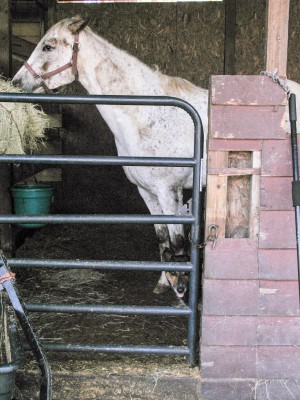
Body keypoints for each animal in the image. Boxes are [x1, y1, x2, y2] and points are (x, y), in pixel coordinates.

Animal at [12, 15, 209, 298]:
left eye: (48, 46)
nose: (16, 83)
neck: (147, 114)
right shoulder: (147, 191)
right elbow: (163, 241)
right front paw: (163, 282)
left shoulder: (169, 191)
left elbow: (177, 242)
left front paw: (180, 288)